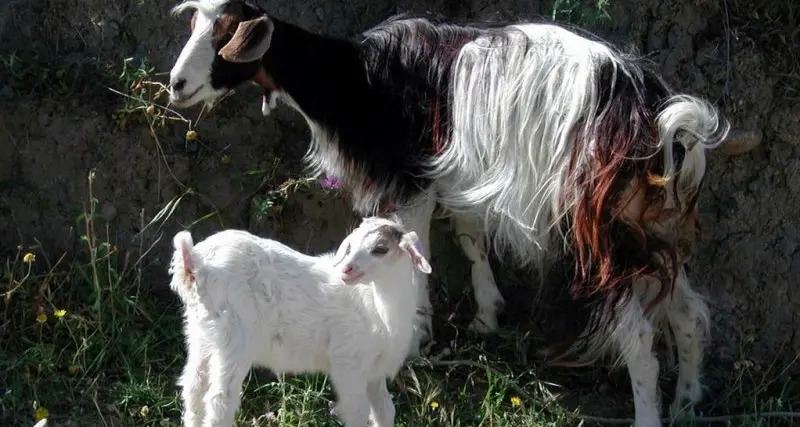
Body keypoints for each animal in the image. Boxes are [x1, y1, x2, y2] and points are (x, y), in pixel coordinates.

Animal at [168, 214, 432, 427]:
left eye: (381, 249)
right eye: (351, 246)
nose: (346, 270)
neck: (377, 306)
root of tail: (195, 263)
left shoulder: (374, 369)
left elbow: (385, 411)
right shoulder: (348, 364)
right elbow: (357, 412)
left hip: (201, 332)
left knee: (193, 387)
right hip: (235, 337)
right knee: (220, 398)